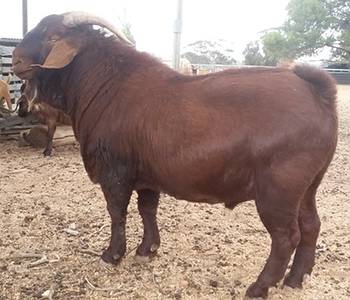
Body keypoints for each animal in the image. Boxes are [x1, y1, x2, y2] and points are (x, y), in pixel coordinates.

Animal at [12, 13, 338, 298]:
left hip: (279, 189)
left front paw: (112, 255)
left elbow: (117, 212)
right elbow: (147, 209)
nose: (15, 59)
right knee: (311, 225)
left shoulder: (115, 171)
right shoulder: (147, 176)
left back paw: (260, 287)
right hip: (307, 187)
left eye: (53, 36)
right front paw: (147, 250)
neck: (106, 85)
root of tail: (316, 92)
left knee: (286, 236)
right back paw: (296, 279)